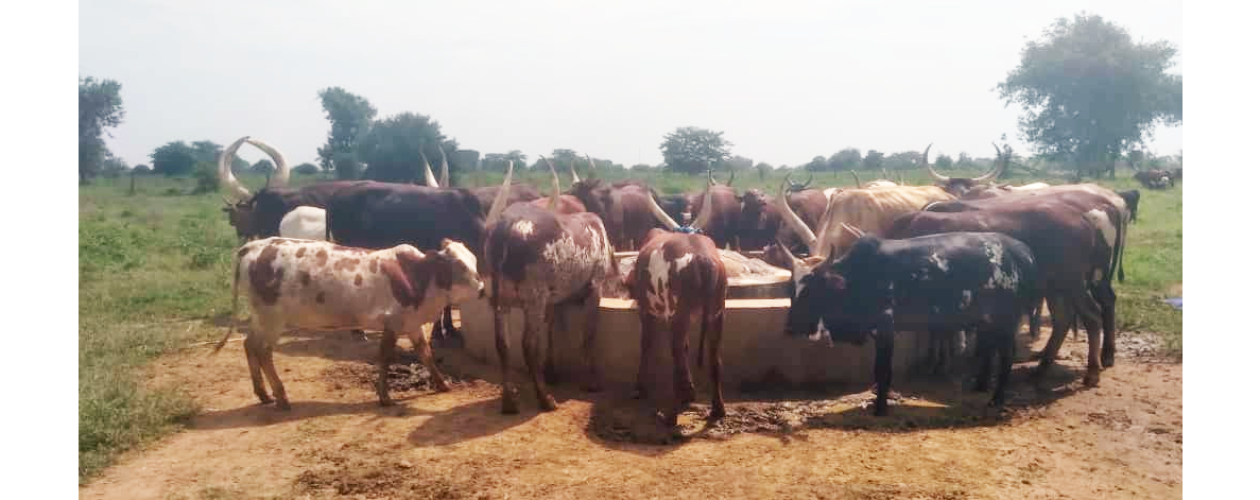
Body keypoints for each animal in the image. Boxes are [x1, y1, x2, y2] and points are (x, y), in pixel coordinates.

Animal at [212, 237, 485, 409]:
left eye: (474, 260)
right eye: (460, 265)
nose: (482, 288)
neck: (417, 276)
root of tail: (252, 246)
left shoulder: (412, 323)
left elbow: (426, 354)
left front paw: (442, 384)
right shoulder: (393, 323)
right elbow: (385, 357)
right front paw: (385, 397)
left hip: (261, 318)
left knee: (249, 345)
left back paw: (263, 394)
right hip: (272, 319)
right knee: (264, 352)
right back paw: (281, 397)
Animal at [484, 157, 618, 414]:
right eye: (603, 195)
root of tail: (507, 226)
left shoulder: (554, 297)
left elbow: (552, 328)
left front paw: (551, 370)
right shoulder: (595, 286)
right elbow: (588, 334)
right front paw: (592, 381)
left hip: (500, 299)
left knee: (502, 344)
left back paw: (509, 400)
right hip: (532, 297)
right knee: (528, 344)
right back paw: (544, 399)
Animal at [628, 179, 729, 426]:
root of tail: (703, 259)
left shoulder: (647, 312)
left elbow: (647, 343)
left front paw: (640, 387)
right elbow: (686, 347)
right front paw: (689, 391)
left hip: (677, 315)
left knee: (676, 358)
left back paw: (671, 415)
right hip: (717, 313)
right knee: (714, 360)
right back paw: (717, 409)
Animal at [784, 229, 1039, 416]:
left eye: (812, 291)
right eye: (790, 289)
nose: (791, 327)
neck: (858, 278)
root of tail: (1022, 251)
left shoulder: (885, 329)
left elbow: (882, 370)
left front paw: (880, 408)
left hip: (1006, 320)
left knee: (1006, 356)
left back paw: (997, 399)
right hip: (989, 321)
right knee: (989, 349)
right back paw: (980, 386)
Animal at [887, 192, 1125, 388]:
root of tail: (1083, 217)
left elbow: (940, 331)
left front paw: (938, 365)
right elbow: (939, 331)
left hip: (1075, 282)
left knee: (1093, 315)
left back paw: (1094, 370)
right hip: (1057, 287)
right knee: (1064, 318)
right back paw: (1042, 367)